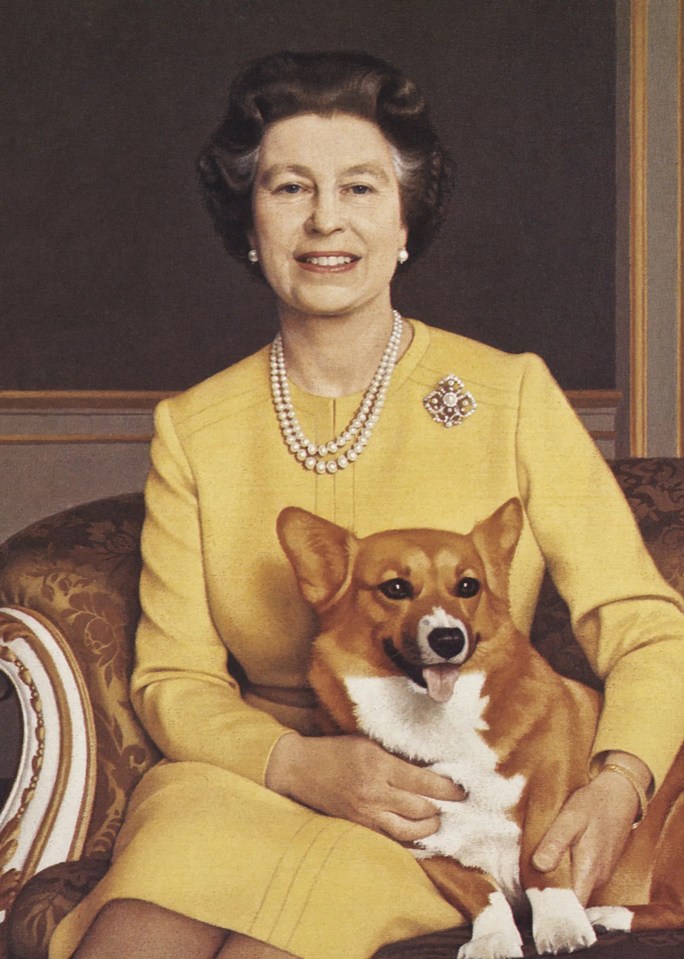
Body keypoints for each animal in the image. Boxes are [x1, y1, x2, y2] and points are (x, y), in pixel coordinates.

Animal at [276, 502, 684, 959]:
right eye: (396, 588)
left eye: (468, 586)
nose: (448, 638)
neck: (437, 718)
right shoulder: (418, 835)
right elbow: (479, 892)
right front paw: (493, 938)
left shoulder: (552, 791)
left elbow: (538, 860)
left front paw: (560, 924)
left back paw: (611, 914)